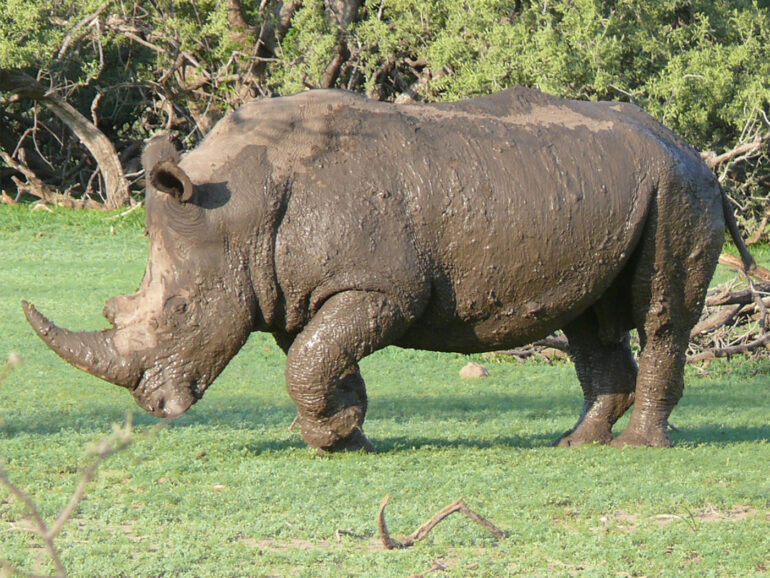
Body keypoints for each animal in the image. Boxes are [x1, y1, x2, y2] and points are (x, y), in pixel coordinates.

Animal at [24, 87, 751, 451]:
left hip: (678, 190)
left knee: (660, 314)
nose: (153, 406)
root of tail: (693, 150)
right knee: (591, 323)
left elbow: (309, 360)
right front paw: (346, 435)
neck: (241, 205)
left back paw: (638, 448)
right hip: (617, 189)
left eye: (179, 311)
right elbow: (319, 357)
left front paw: (331, 437)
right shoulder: (299, 289)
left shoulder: (380, 287)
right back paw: (575, 443)